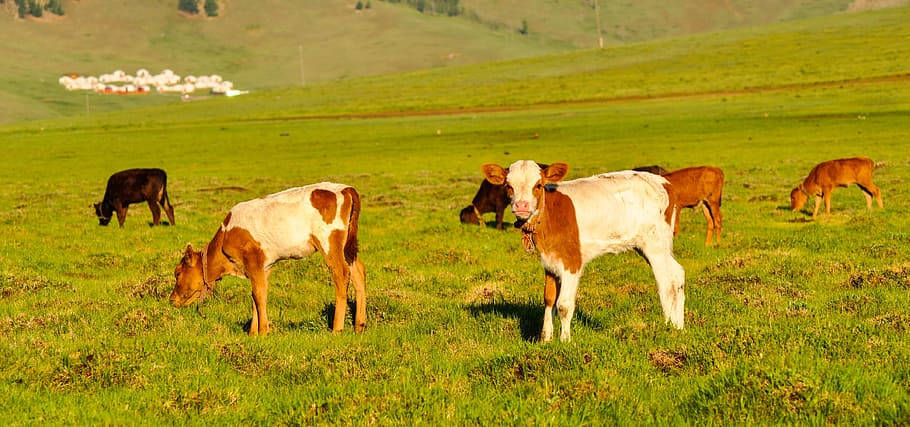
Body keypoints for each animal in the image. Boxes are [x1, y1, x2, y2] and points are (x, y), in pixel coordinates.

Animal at [167, 182, 366, 336]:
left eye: (177, 273)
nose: (171, 299)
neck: (227, 234)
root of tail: (344, 188)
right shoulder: (264, 266)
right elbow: (256, 295)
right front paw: (253, 332)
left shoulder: (253, 260)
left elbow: (258, 294)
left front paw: (263, 330)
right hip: (347, 247)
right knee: (358, 272)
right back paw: (359, 325)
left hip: (329, 243)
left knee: (341, 274)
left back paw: (337, 329)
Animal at [484, 160, 684, 342]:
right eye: (508, 186)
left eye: (538, 185)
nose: (521, 206)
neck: (549, 216)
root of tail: (663, 182)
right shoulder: (549, 262)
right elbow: (549, 299)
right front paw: (545, 338)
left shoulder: (572, 262)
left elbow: (564, 304)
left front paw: (565, 340)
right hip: (653, 245)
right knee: (678, 274)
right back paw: (678, 326)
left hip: (655, 245)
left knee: (666, 284)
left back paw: (667, 325)